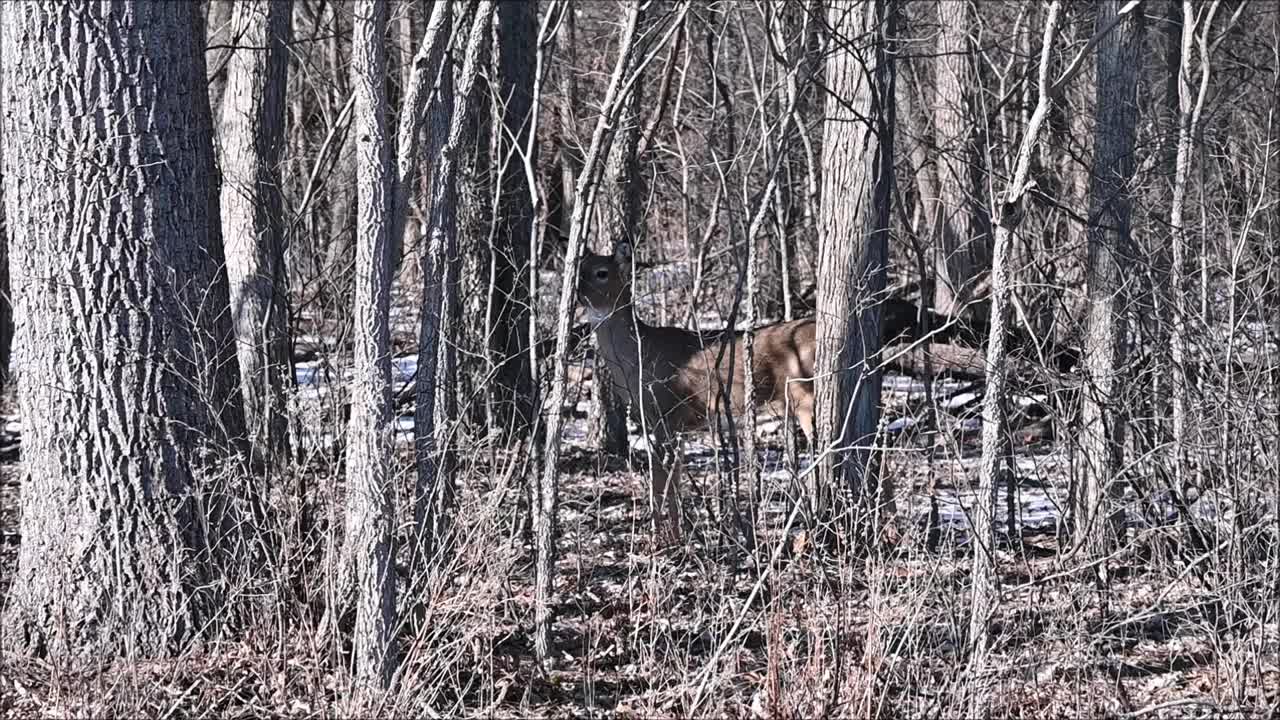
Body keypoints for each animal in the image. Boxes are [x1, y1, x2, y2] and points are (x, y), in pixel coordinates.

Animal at [578, 243, 814, 535]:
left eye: (602, 273)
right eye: (580, 269)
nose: (578, 293)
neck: (639, 359)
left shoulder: (666, 415)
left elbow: (665, 480)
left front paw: (667, 536)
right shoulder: (668, 425)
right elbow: (668, 480)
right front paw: (669, 530)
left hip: (806, 396)